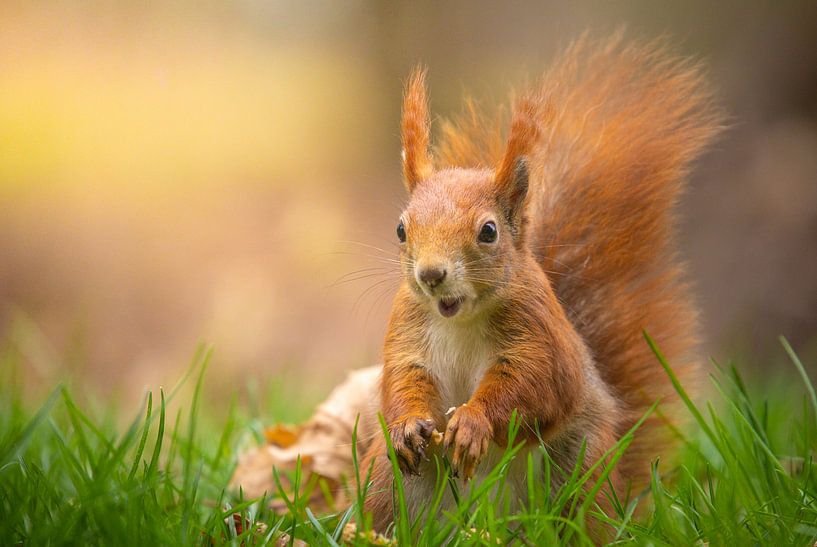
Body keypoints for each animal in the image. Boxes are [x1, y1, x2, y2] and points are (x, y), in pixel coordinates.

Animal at [361, 33, 723, 532]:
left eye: (488, 231)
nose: (431, 275)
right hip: (386, 483)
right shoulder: (407, 329)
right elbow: (402, 380)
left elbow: (538, 385)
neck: (459, 319)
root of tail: (487, 524)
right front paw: (406, 426)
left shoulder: (540, 334)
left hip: (577, 466)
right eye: (400, 229)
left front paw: (472, 423)